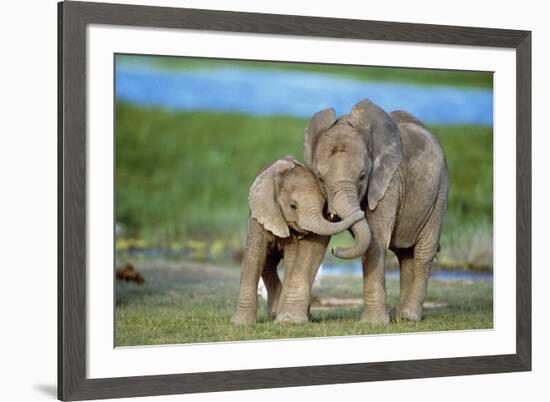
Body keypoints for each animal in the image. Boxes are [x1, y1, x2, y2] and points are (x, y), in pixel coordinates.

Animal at [232, 155, 364, 326]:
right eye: (293, 206)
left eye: (324, 205)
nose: (334, 249)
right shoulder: (260, 214)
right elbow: (254, 256)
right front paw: (240, 323)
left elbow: (292, 259)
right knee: (268, 262)